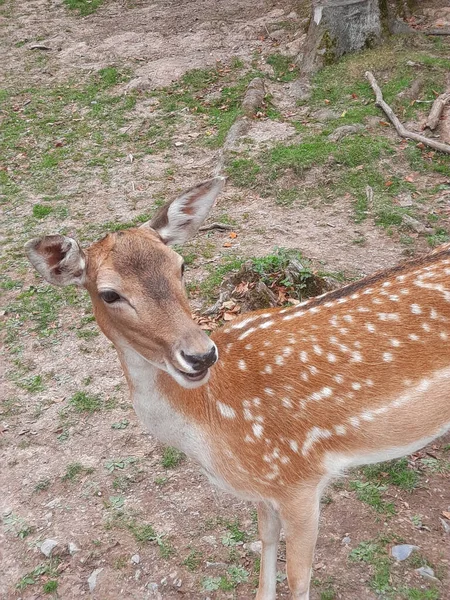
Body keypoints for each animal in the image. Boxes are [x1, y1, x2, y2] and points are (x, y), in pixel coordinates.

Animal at [27, 176, 450, 596]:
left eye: (181, 266)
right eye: (109, 293)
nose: (200, 355)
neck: (215, 425)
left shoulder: (300, 477)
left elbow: (299, 578)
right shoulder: (269, 483)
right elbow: (265, 537)